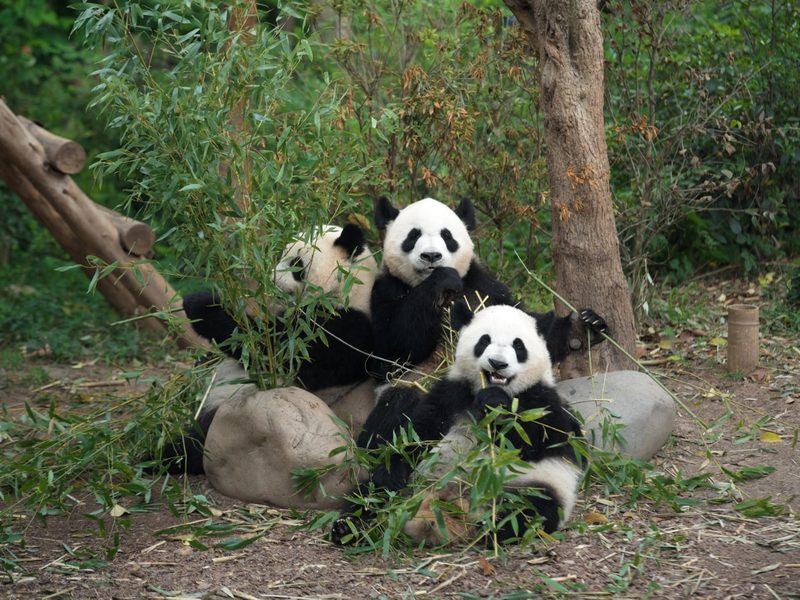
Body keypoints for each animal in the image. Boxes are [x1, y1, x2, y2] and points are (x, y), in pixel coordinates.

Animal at [158, 223, 378, 475]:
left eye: (296, 263)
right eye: (280, 255)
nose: (271, 280)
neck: (349, 289)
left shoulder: (344, 330)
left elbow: (271, 350)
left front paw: (201, 304)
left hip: (231, 410)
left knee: (197, 442)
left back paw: (159, 455)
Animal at [332, 302, 584, 546]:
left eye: (518, 346)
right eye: (484, 340)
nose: (497, 363)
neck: (489, 388)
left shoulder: (541, 401)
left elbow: (536, 440)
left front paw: (496, 404)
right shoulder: (451, 393)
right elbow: (417, 435)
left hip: (531, 484)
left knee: (530, 510)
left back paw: (492, 528)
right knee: (373, 493)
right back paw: (349, 527)